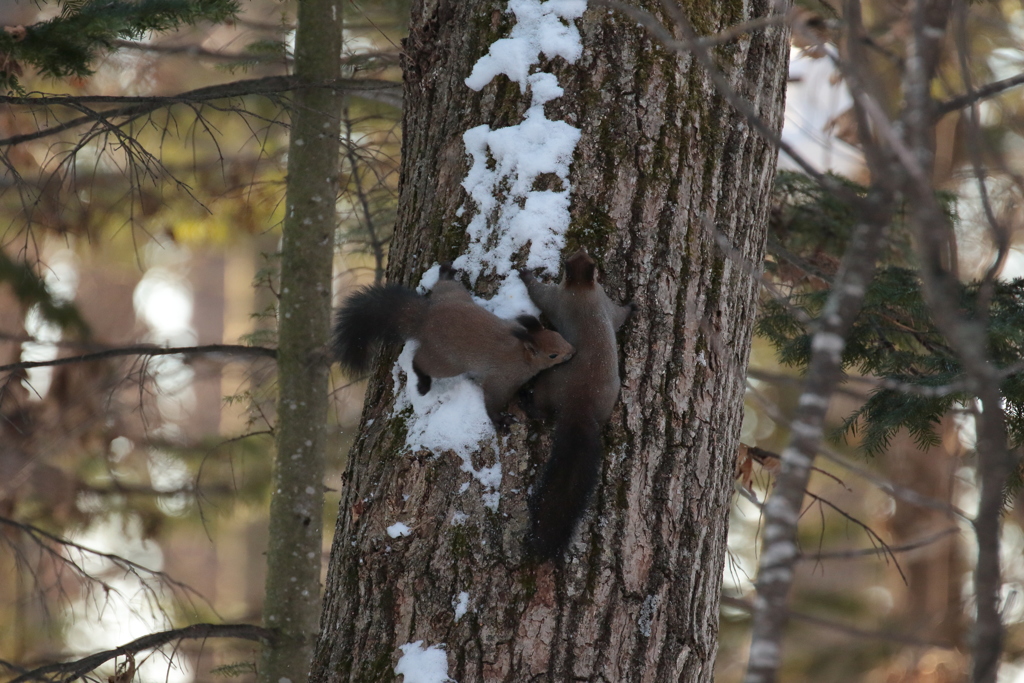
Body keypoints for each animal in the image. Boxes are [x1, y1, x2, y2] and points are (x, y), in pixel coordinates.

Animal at [333, 264, 577, 428]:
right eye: (552, 355)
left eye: (558, 335)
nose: (572, 352)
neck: (521, 351)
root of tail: (425, 319)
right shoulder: (503, 378)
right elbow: (492, 399)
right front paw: (500, 421)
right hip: (446, 362)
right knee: (419, 362)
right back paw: (423, 383)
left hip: (454, 294)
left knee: (445, 285)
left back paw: (446, 273)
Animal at [520, 248, 630, 557]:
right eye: (584, 258)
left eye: (570, 260)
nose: (580, 249)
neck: (582, 289)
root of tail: (580, 405)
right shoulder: (607, 303)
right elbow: (621, 315)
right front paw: (633, 305)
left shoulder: (556, 298)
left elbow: (537, 293)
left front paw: (525, 273)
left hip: (549, 384)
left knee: (541, 410)